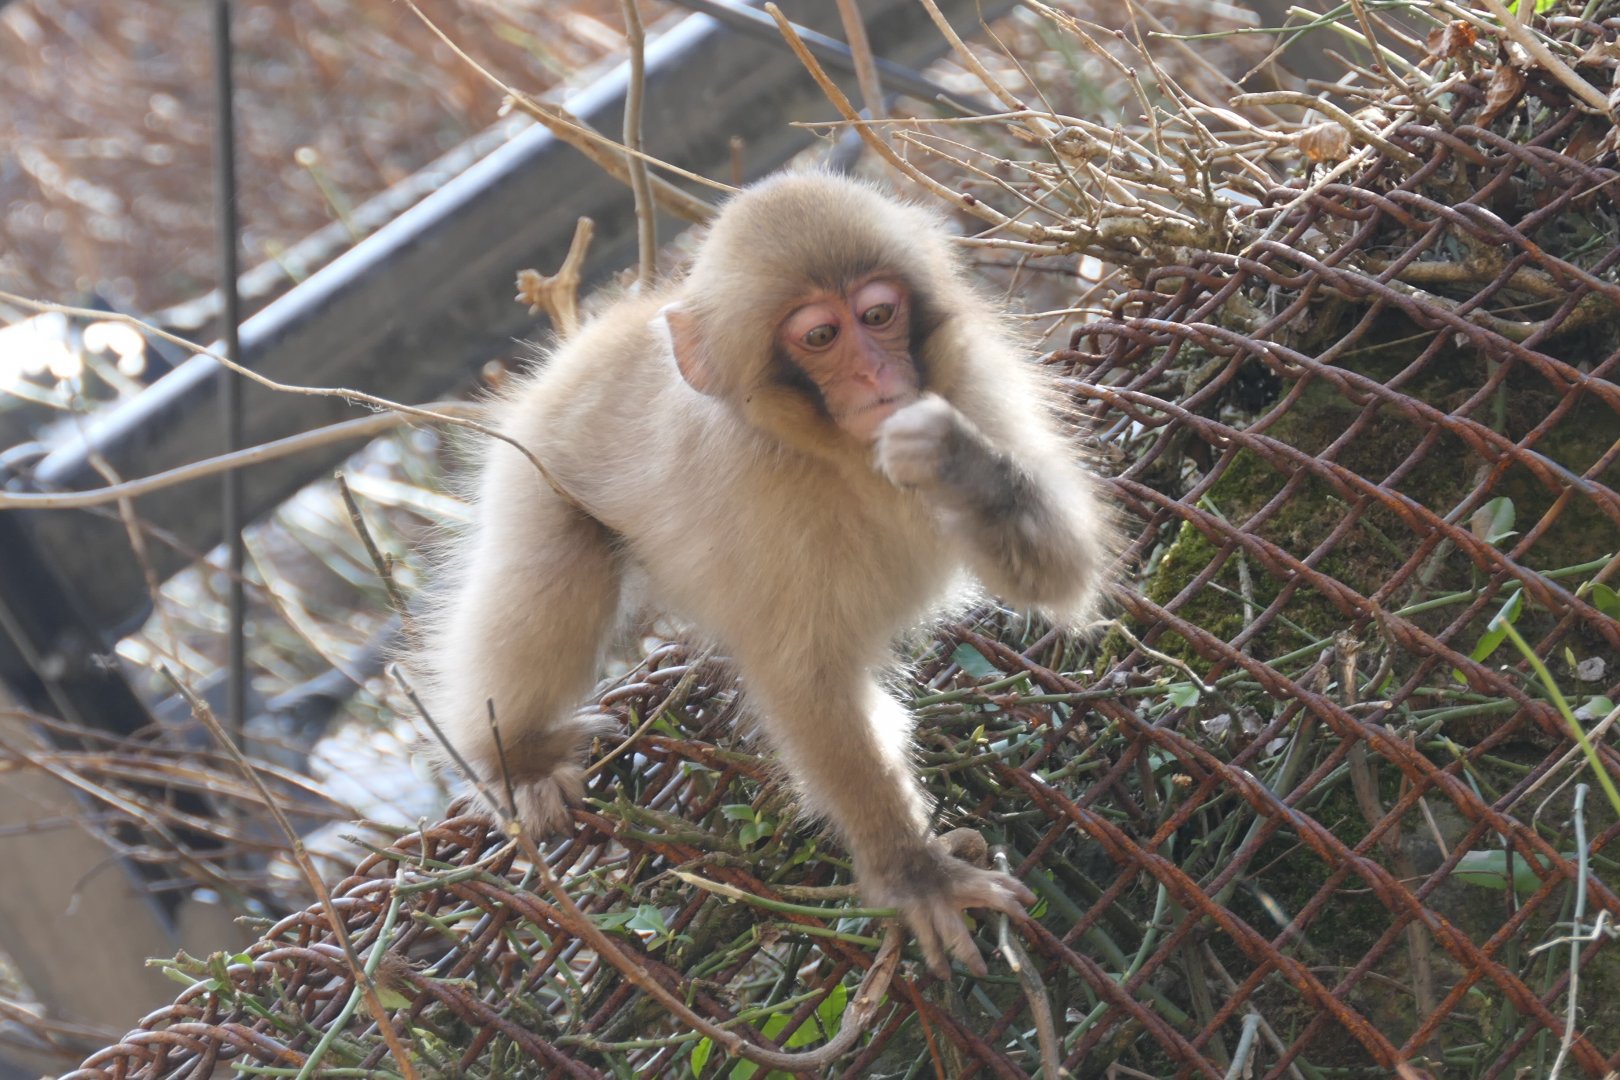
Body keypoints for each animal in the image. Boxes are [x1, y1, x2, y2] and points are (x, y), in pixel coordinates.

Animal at [412, 171, 1111, 978]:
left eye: (878, 314)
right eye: (821, 337)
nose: (877, 373)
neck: (842, 454)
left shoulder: (978, 387)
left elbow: (1065, 574)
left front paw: (953, 460)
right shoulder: (755, 490)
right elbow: (803, 680)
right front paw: (916, 875)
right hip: (534, 470)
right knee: (555, 571)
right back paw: (517, 757)